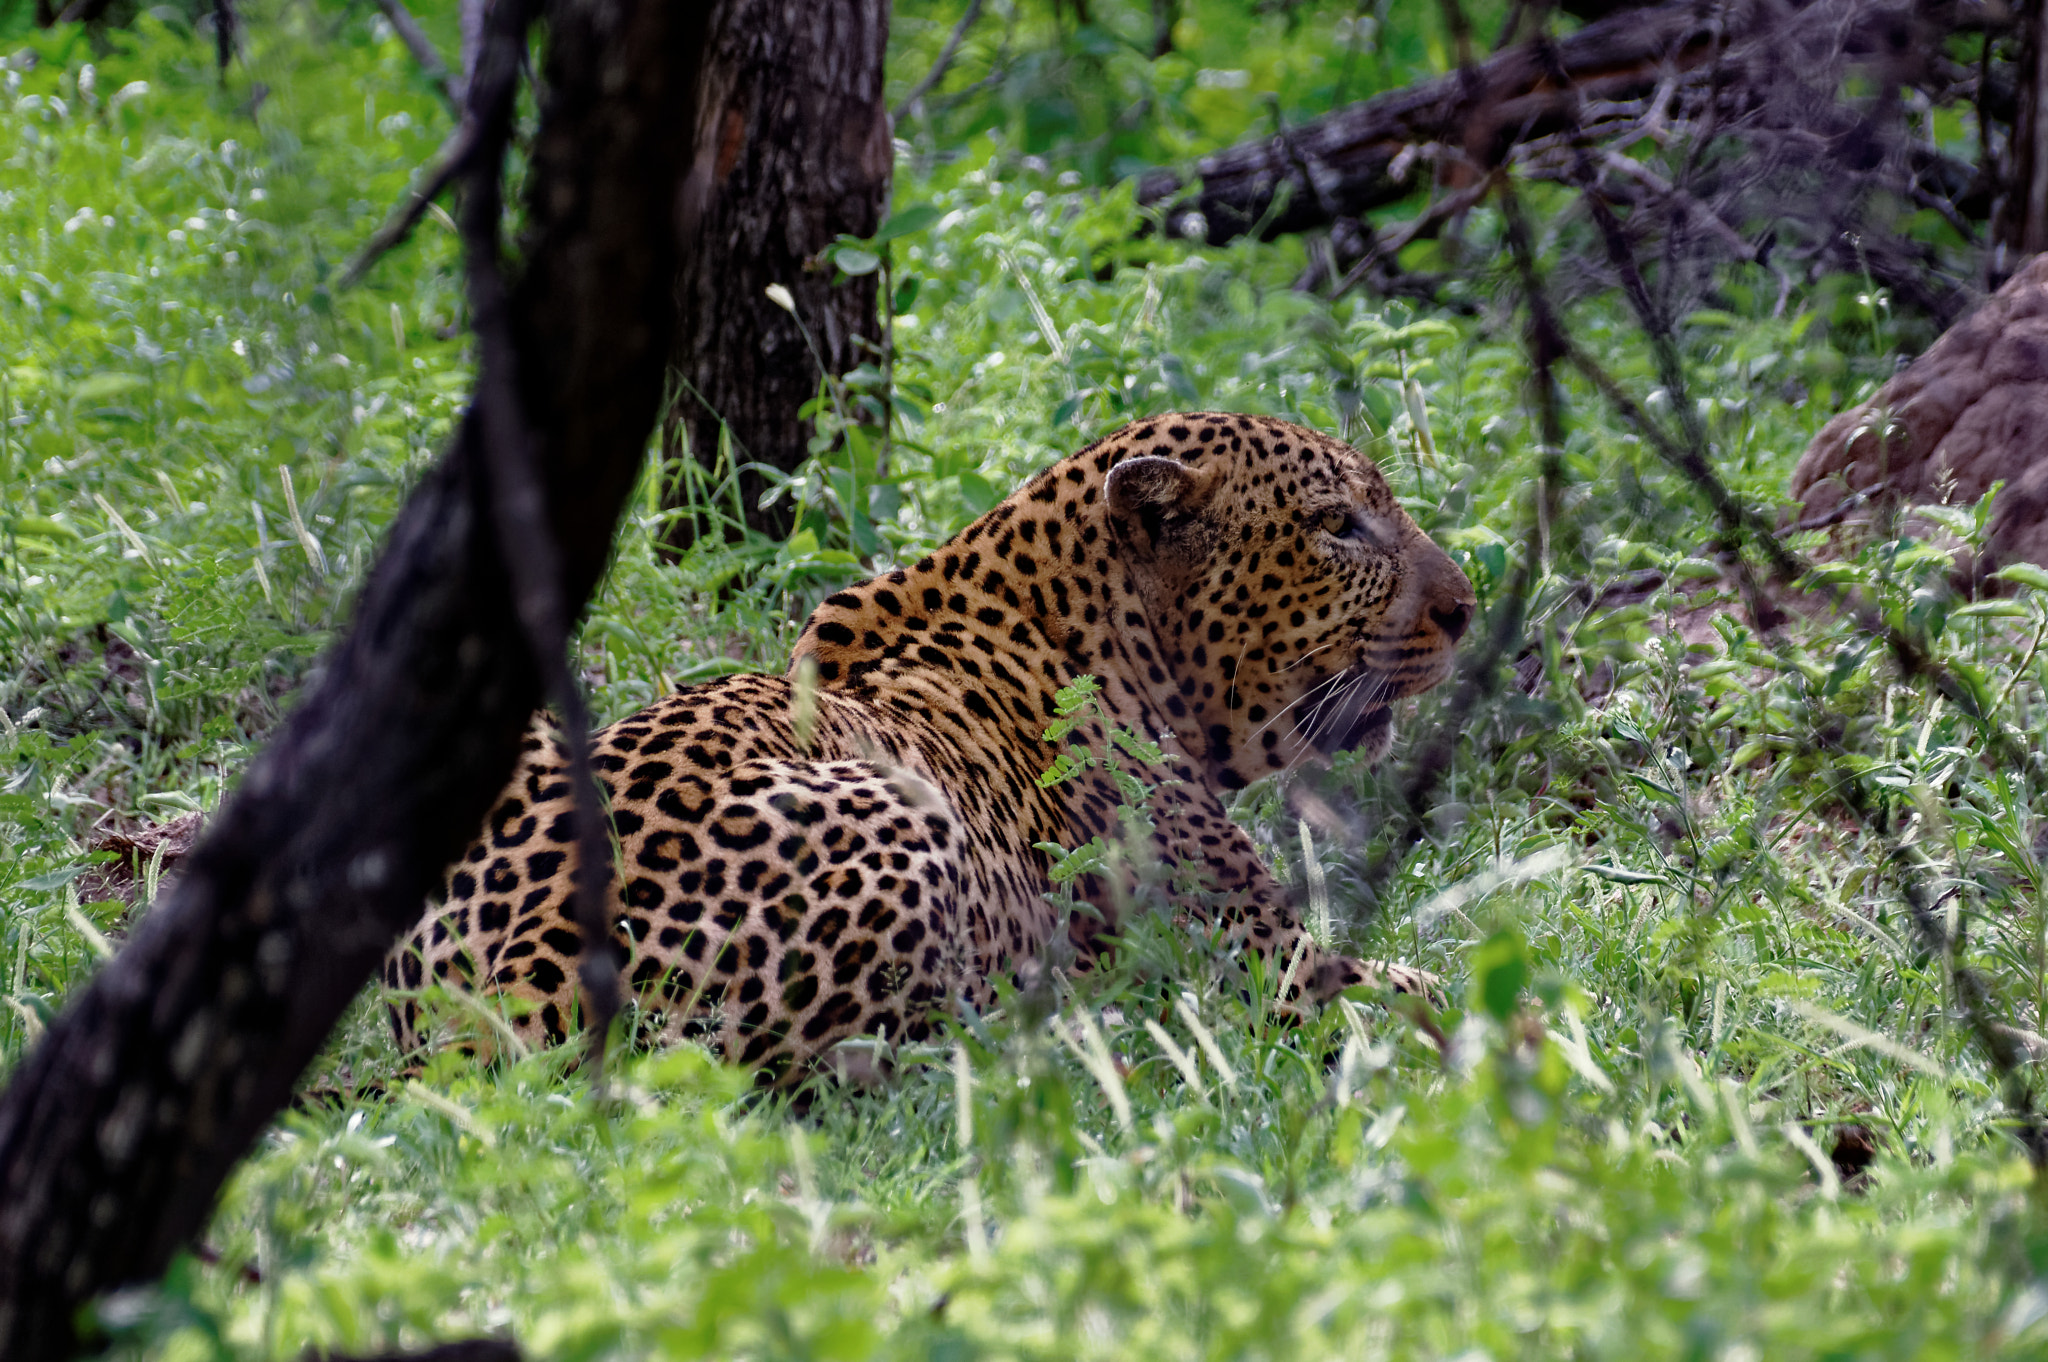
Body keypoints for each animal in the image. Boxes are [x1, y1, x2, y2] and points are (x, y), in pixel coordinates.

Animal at [384, 412, 1477, 1085]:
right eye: (1336, 526)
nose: (1465, 609)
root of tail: (522, 976)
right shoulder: (1272, 967)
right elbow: (1428, 985)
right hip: (906, 826)